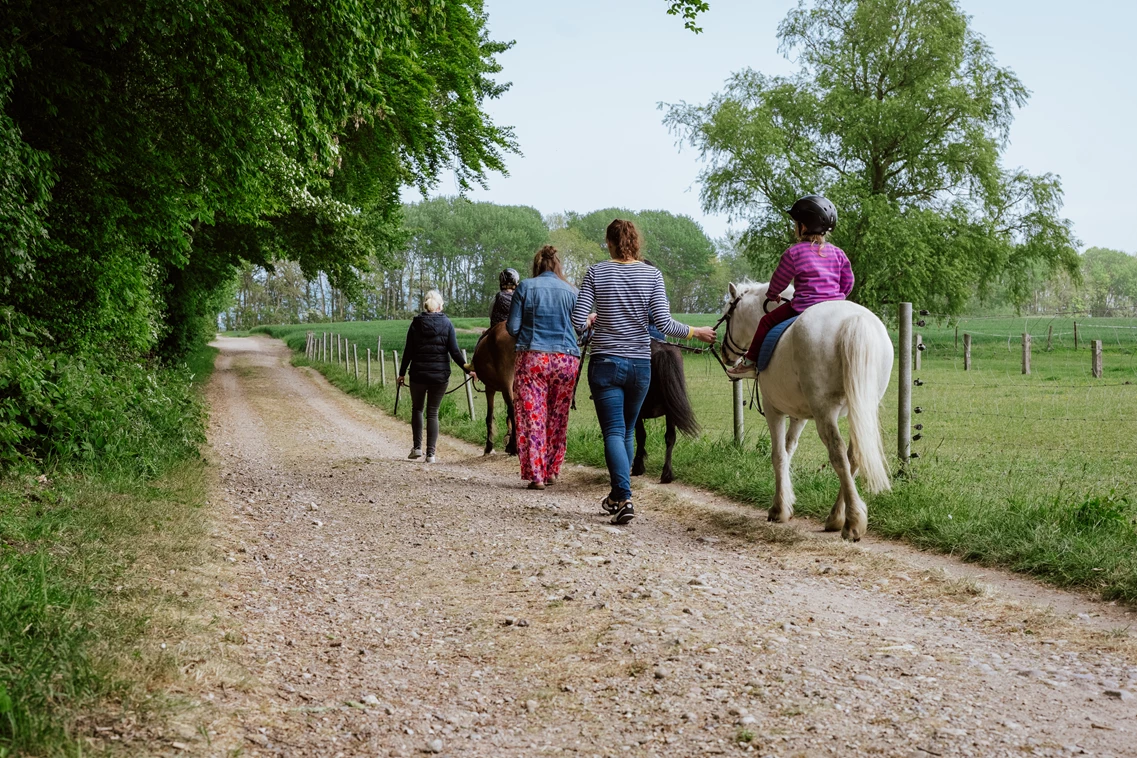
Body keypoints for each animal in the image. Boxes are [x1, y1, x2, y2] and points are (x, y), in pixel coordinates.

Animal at [468, 322, 518, 454]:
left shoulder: (489, 388)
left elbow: (489, 416)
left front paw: (489, 445)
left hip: (506, 382)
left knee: (512, 409)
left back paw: (515, 446)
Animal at [718, 282, 895, 538]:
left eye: (727, 315)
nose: (725, 353)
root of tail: (854, 319)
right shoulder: (799, 416)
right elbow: (789, 449)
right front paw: (785, 500)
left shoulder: (773, 409)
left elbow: (778, 455)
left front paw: (779, 509)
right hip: (859, 409)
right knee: (854, 456)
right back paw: (837, 516)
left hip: (824, 412)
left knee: (838, 455)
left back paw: (852, 520)